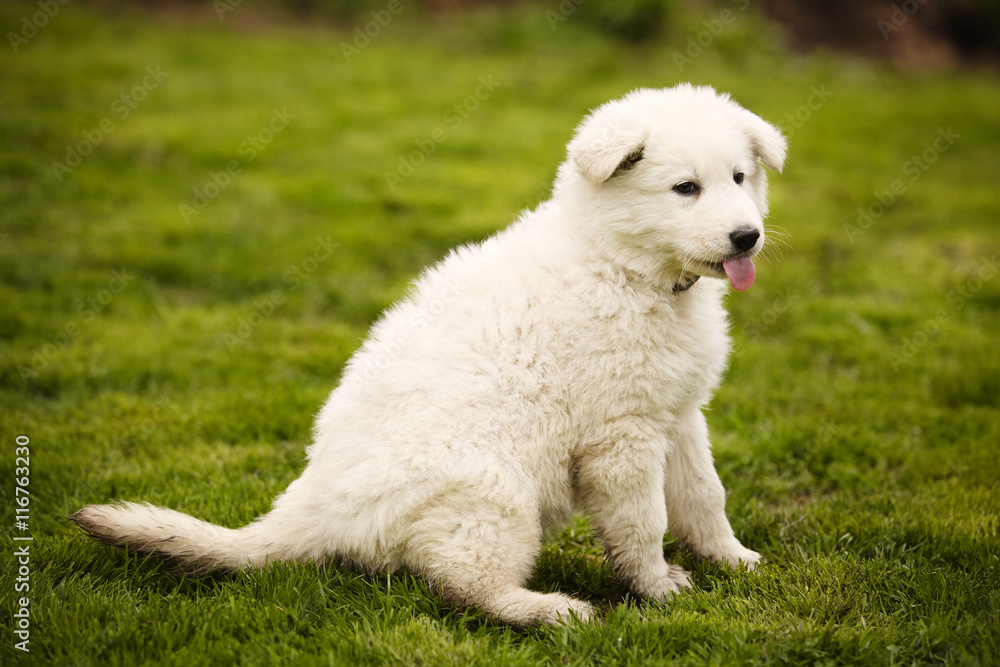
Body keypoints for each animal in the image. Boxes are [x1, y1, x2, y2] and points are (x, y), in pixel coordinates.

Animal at [74, 83, 784, 628]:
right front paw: (658, 588)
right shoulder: (622, 436)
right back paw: (548, 610)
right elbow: (643, 521)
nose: (746, 237)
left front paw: (733, 560)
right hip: (493, 494)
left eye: (739, 178)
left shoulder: (678, 414)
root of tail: (313, 509)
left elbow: (703, 495)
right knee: (462, 586)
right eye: (684, 188)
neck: (627, 268)